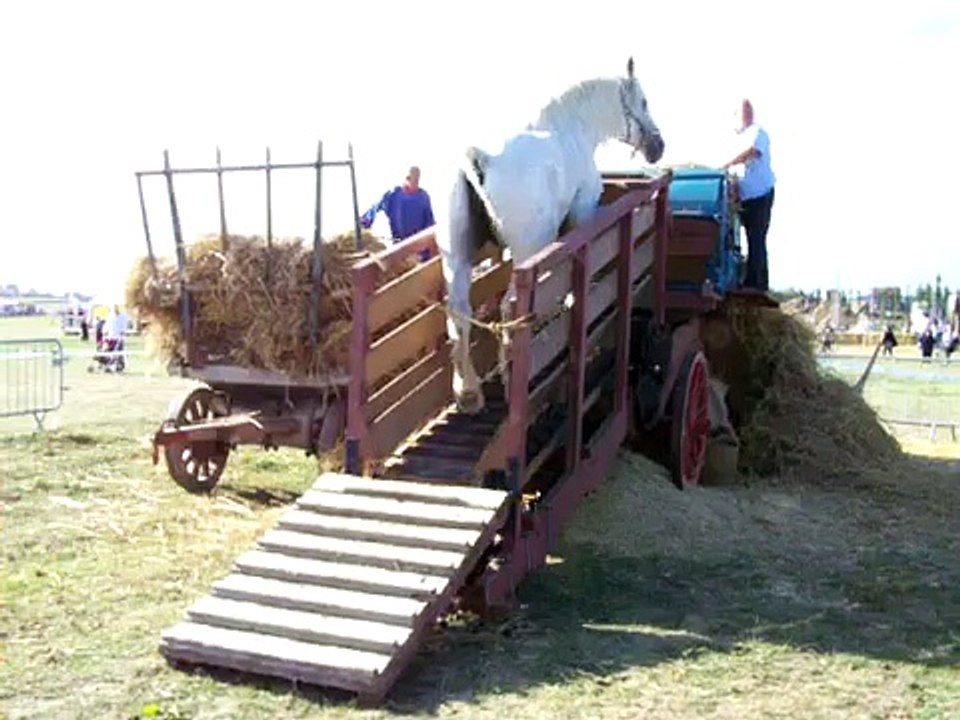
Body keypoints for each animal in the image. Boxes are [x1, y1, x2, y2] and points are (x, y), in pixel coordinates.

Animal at [434, 57, 666, 414]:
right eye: (643, 101)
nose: (658, 146)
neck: (571, 126)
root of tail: (479, 159)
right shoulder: (581, 212)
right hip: (526, 250)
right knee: (510, 306)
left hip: (456, 260)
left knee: (459, 314)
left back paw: (469, 393)